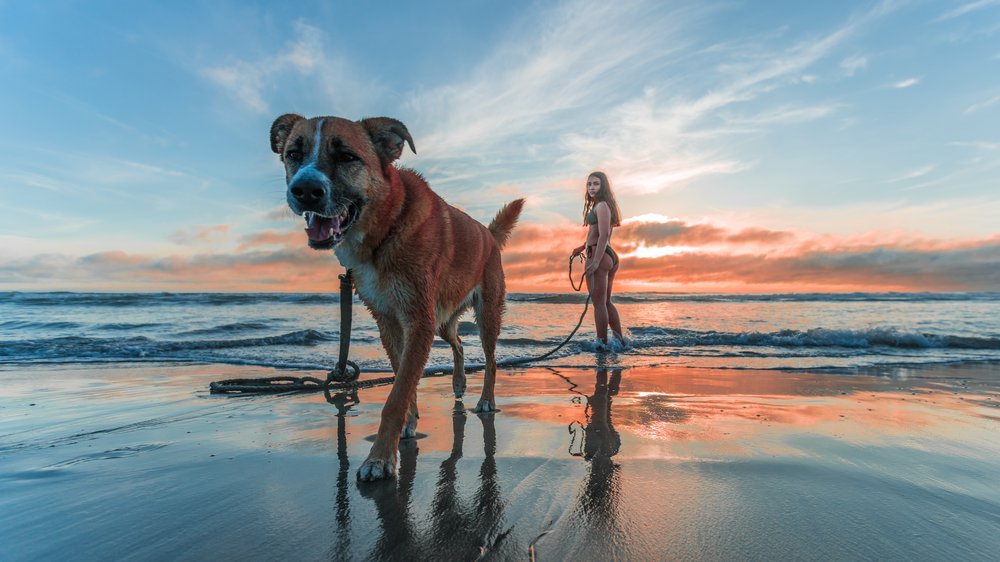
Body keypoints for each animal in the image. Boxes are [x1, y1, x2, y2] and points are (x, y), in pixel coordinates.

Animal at [270, 112, 528, 476]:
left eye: (347, 156)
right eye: (293, 153)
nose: (305, 190)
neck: (386, 228)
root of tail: (488, 235)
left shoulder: (418, 321)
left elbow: (397, 394)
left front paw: (379, 458)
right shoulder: (390, 322)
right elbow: (402, 380)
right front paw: (408, 424)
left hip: (485, 313)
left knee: (490, 360)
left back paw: (486, 400)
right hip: (442, 320)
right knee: (459, 343)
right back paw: (459, 383)